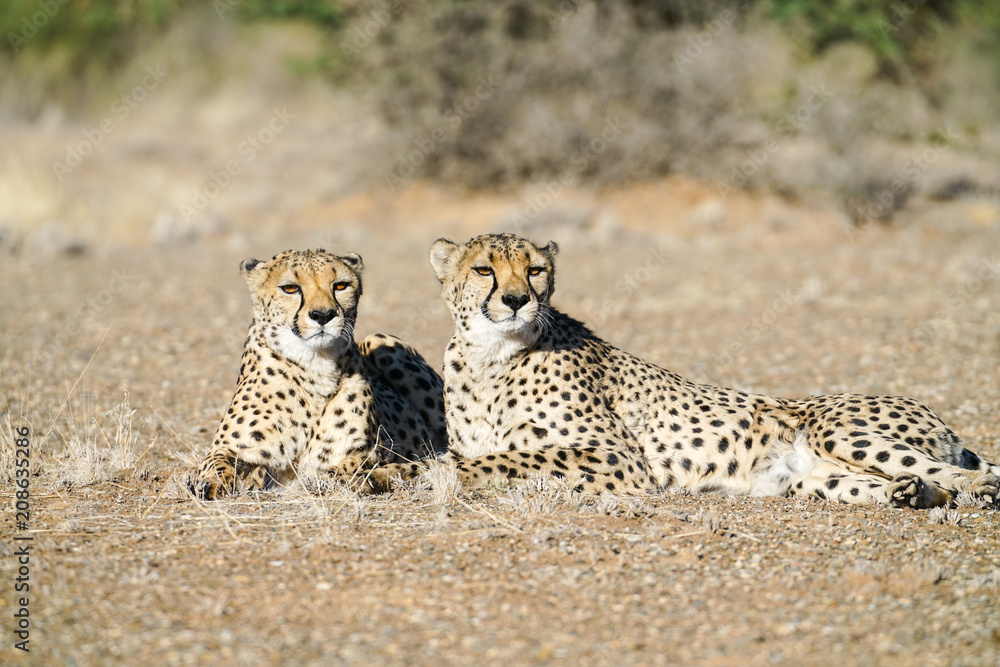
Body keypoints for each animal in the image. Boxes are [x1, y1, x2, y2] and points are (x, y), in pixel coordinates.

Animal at [189, 249, 446, 500]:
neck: (315, 364)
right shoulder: (231, 448)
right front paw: (210, 485)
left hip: (380, 340)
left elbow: (345, 468)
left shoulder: (366, 452)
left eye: (340, 286)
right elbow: (213, 463)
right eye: (290, 288)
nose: (323, 315)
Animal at [374, 233, 999, 509]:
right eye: (484, 269)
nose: (514, 301)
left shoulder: (618, 458)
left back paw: (967, 488)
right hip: (816, 477)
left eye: (535, 270)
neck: (491, 356)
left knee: (969, 476)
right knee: (908, 482)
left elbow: (498, 459)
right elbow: (470, 455)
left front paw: (418, 473)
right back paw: (909, 494)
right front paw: (391, 473)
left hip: (836, 429)